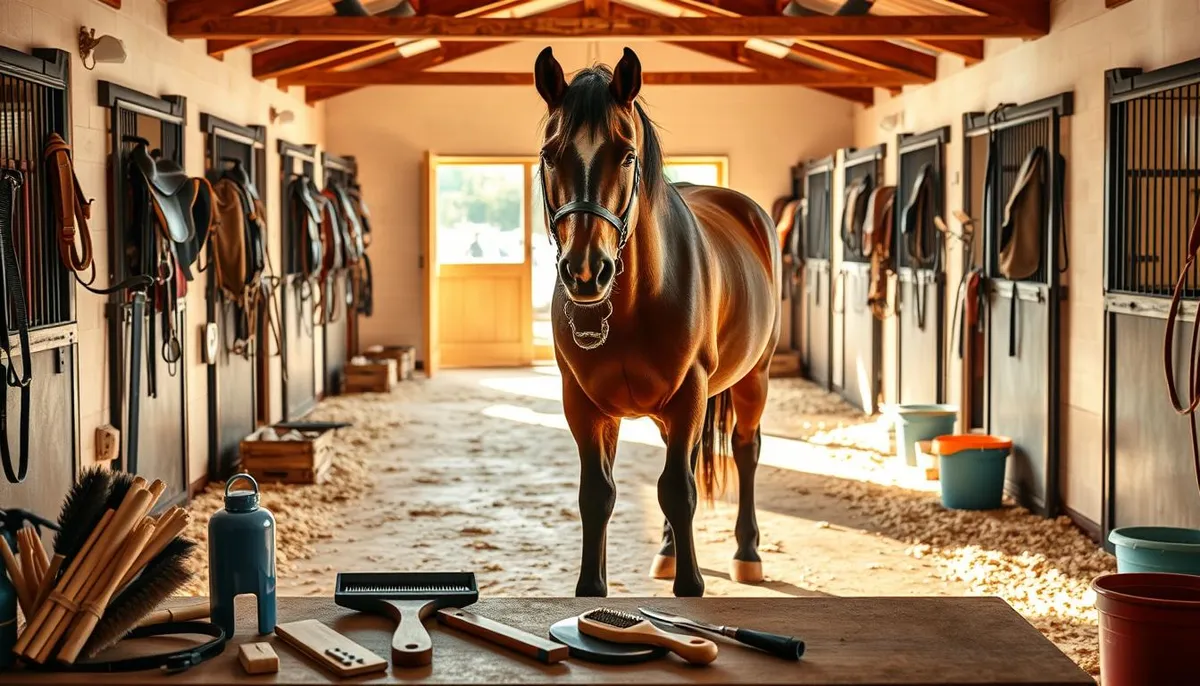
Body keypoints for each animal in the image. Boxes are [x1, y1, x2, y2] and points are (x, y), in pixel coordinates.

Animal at [534, 46, 781, 598]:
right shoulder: (583, 404)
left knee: (745, 452)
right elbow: (597, 495)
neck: (630, 306)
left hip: (753, 378)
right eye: (549, 154)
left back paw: (747, 554)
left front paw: (691, 586)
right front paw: (591, 588)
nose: (586, 271)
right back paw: (668, 550)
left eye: (627, 154)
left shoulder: (690, 391)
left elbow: (679, 490)